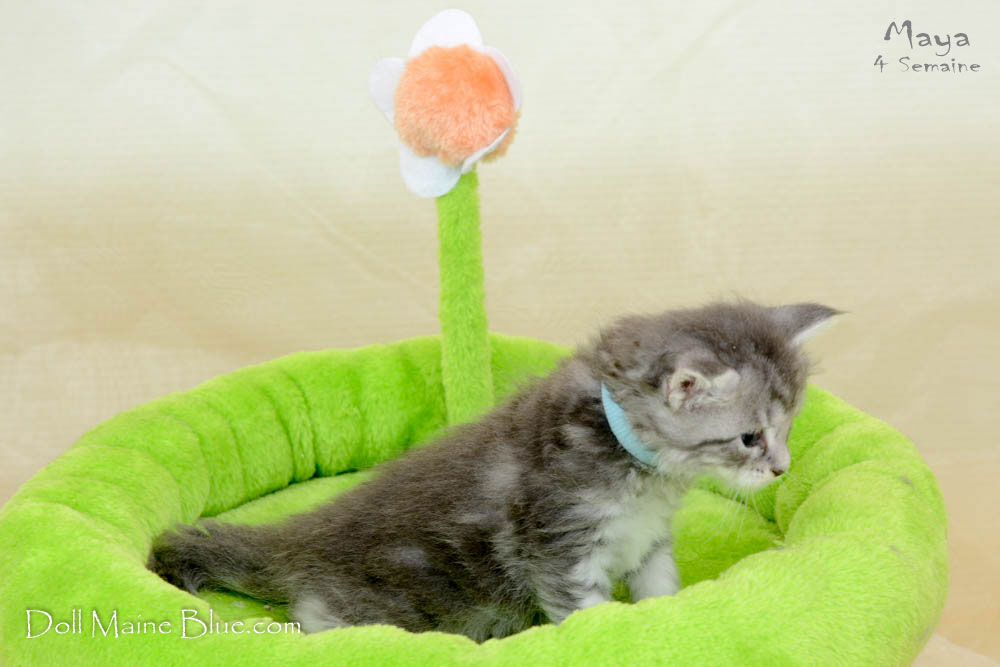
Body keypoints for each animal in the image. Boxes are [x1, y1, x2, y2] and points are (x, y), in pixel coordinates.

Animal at [149, 300, 838, 641]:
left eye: (789, 427)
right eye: (750, 437)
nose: (783, 468)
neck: (632, 465)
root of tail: (304, 535)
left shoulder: (648, 540)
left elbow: (659, 588)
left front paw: (670, 617)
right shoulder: (560, 550)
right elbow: (588, 616)